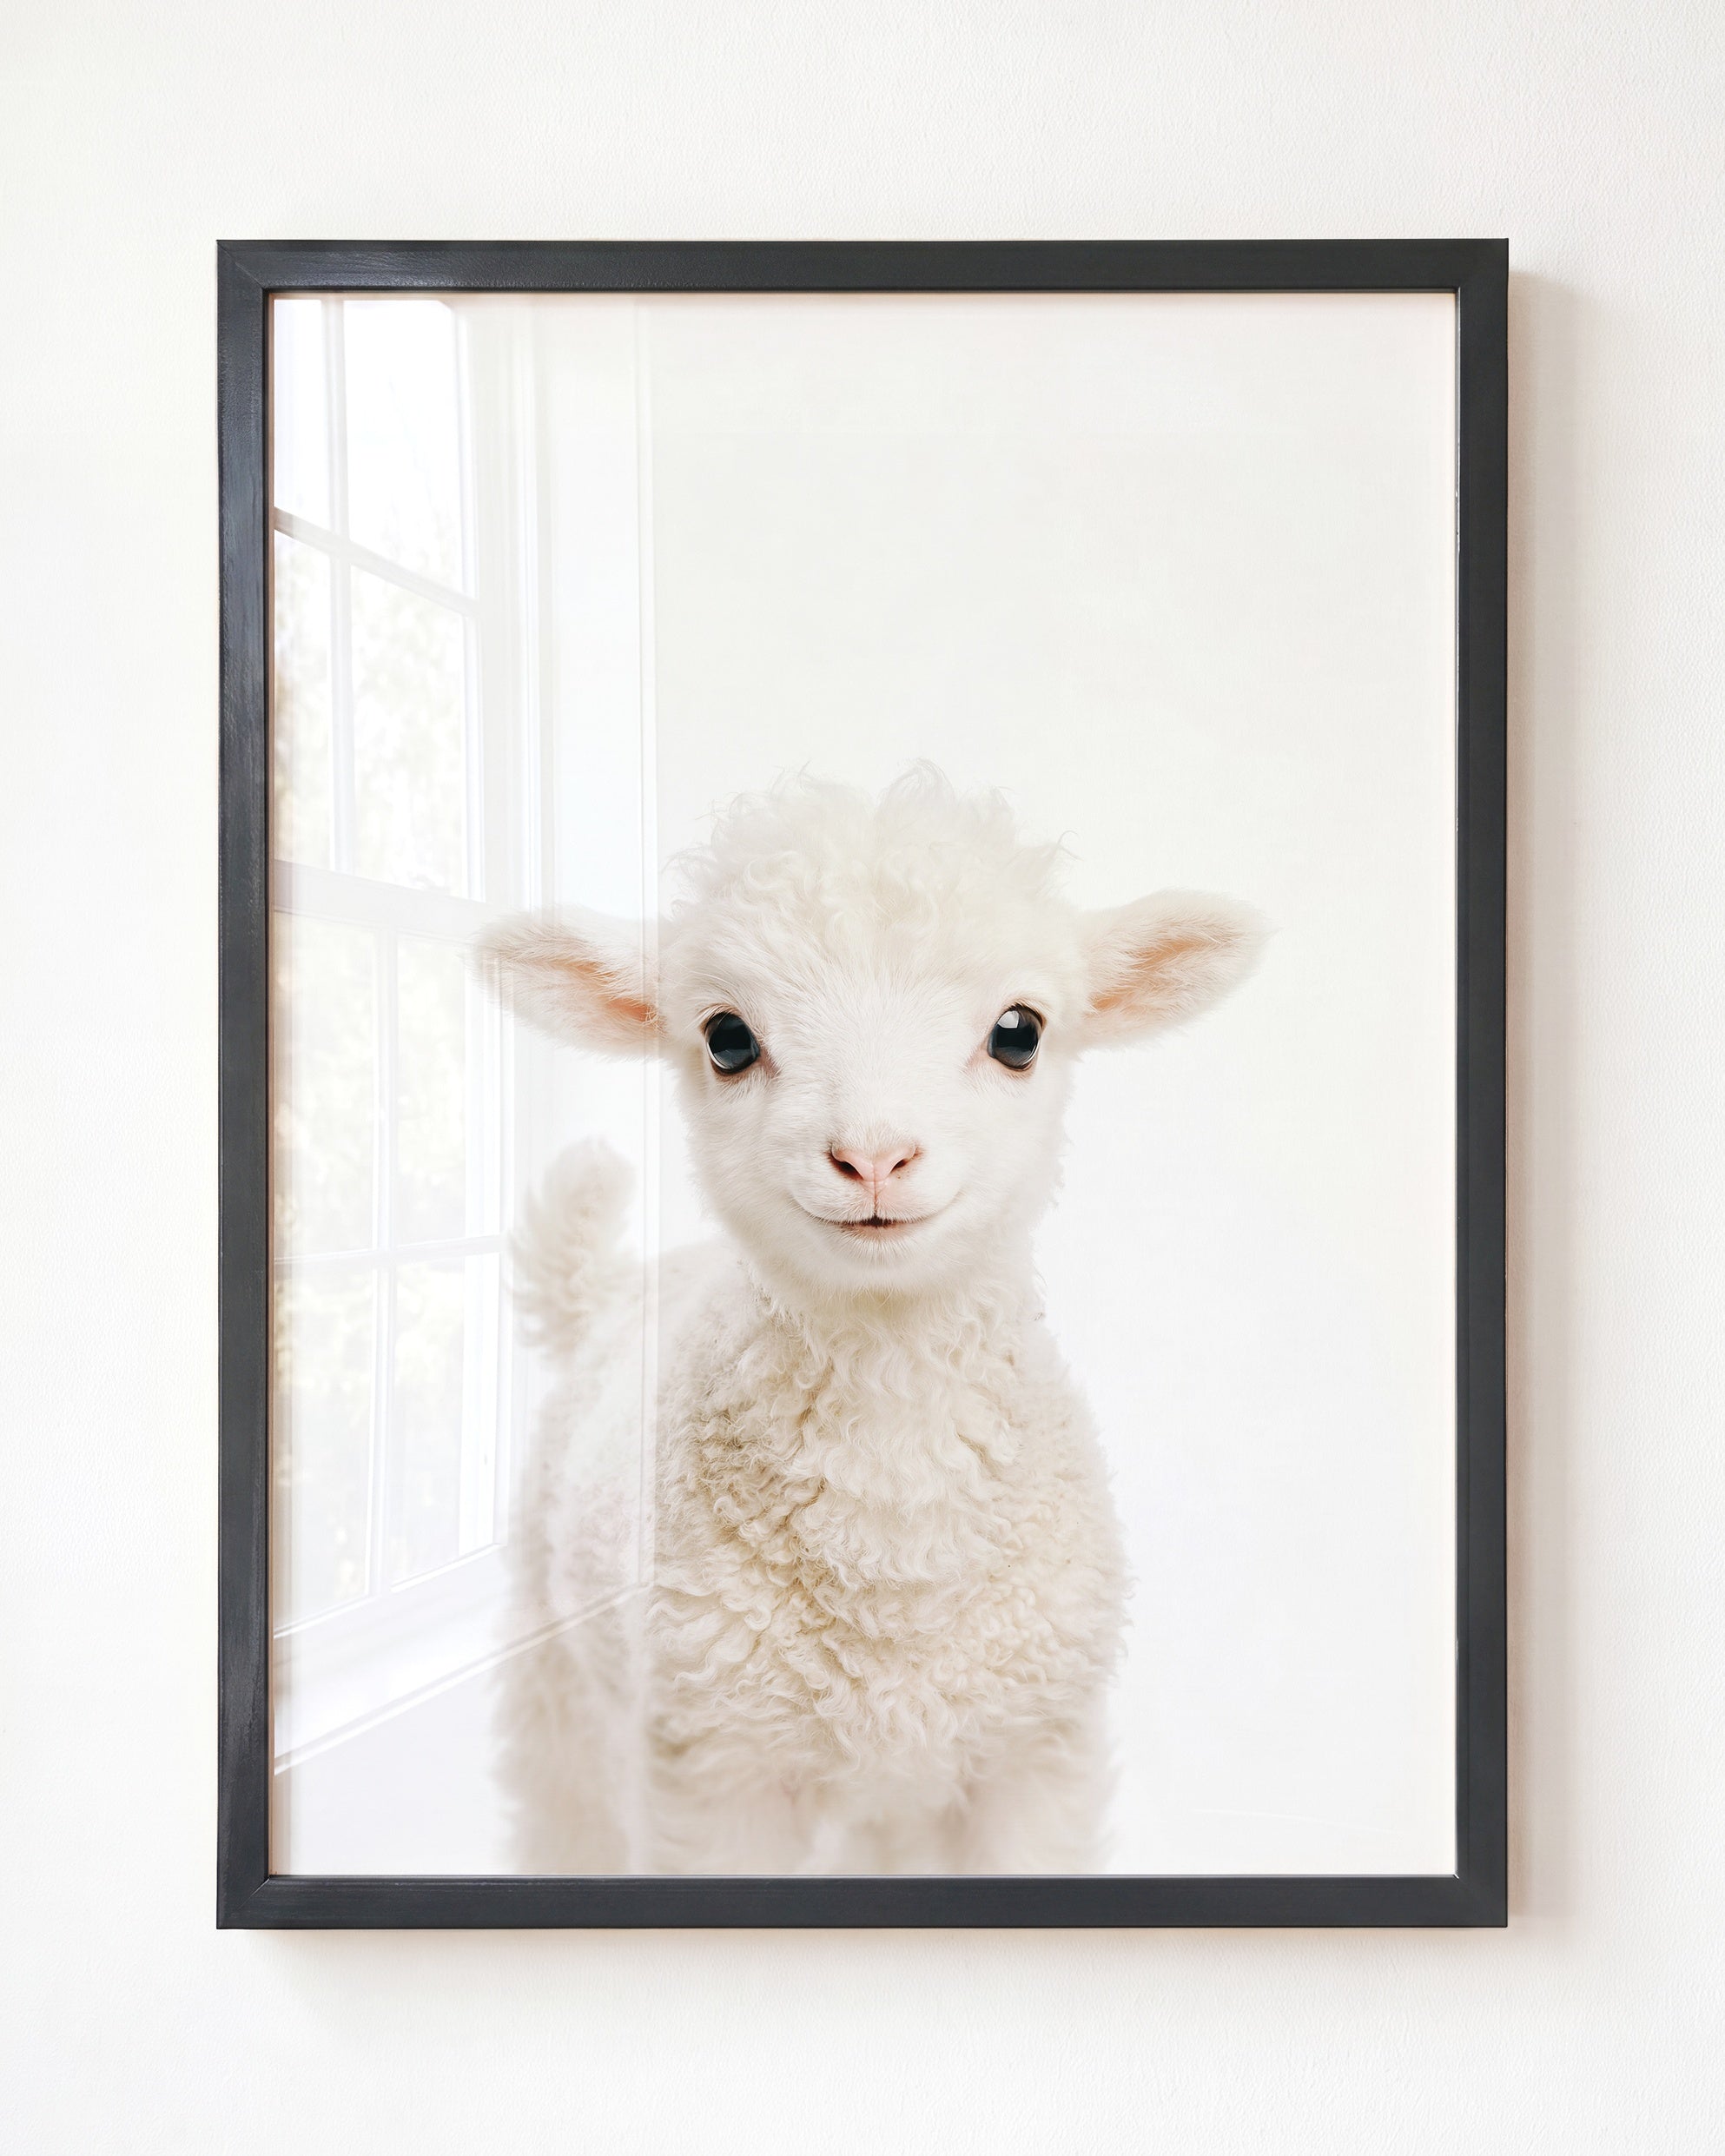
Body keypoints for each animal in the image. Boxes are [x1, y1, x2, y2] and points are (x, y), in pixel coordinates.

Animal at [478, 766, 1262, 1874]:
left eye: (1019, 1031)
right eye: (727, 1037)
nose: (874, 1156)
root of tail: (612, 1287)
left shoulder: (1033, 1757)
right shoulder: (715, 1771)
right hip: (560, 1688)